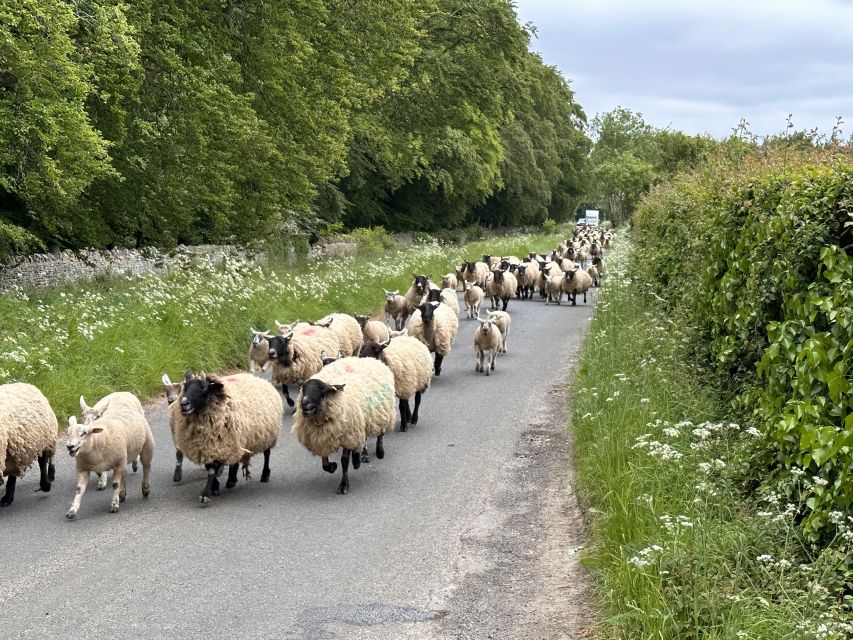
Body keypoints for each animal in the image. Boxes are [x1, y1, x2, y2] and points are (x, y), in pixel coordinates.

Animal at [65, 390, 156, 520]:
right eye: (68, 433)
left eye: (84, 433)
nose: (70, 446)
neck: (97, 441)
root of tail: (122, 391)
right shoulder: (83, 468)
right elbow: (79, 489)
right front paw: (72, 510)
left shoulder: (118, 463)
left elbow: (115, 484)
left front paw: (114, 504)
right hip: (124, 457)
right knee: (125, 472)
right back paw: (122, 493)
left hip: (147, 446)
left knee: (146, 467)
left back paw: (145, 488)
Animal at [170, 370, 282, 504]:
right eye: (185, 387)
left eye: (203, 388)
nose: (184, 404)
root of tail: (258, 378)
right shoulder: (208, 446)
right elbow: (209, 467)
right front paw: (215, 487)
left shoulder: (219, 444)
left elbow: (212, 470)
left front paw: (206, 494)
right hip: (237, 440)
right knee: (236, 459)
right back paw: (231, 480)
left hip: (267, 434)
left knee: (267, 454)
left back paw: (265, 475)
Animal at [292, 356, 394, 496]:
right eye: (303, 389)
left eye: (321, 391)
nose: (304, 403)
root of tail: (367, 358)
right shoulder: (323, 438)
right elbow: (324, 462)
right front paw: (332, 467)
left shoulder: (347, 435)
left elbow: (344, 461)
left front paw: (344, 485)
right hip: (362, 420)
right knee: (362, 439)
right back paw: (357, 460)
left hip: (380, 413)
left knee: (380, 434)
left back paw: (378, 453)